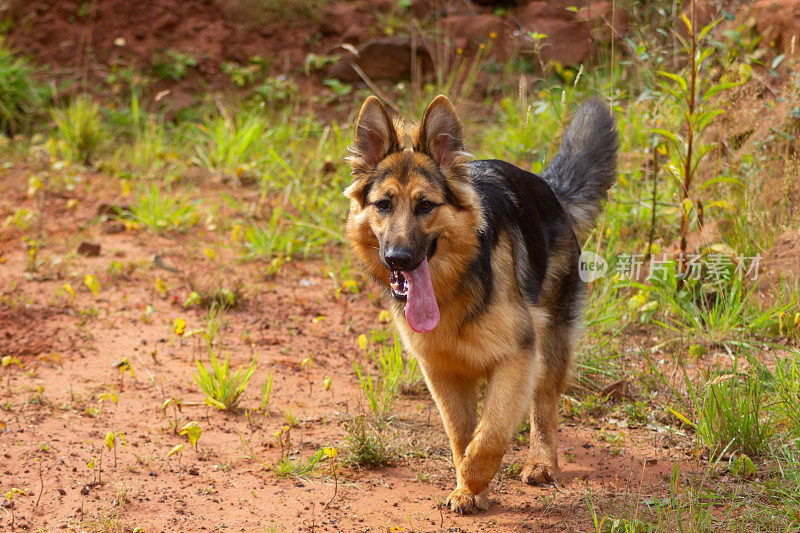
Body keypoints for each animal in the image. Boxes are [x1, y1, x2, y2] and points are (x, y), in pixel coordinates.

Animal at [346, 94, 620, 512]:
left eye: (425, 206)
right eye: (383, 205)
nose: (397, 259)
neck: (452, 289)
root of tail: (548, 187)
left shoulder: (517, 355)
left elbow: (491, 432)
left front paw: (474, 478)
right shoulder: (441, 370)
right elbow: (462, 435)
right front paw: (468, 488)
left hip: (551, 340)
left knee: (544, 404)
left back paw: (542, 461)